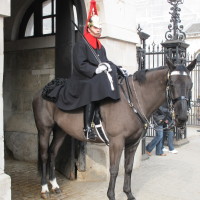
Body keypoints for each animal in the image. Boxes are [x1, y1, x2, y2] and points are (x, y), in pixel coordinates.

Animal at [32, 59, 196, 200]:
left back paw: (55, 186)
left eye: (191, 84)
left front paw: (129, 194)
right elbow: (114, 169)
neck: (133, 100)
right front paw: (111, 195)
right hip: (44, 129)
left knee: (53, 153)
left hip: (61, 130)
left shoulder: (133, 143)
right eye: (172, 83)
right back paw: (45, 188)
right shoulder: (117, 142)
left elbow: (128, 168)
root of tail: (44, 90)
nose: (182, 118)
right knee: (45, 155)